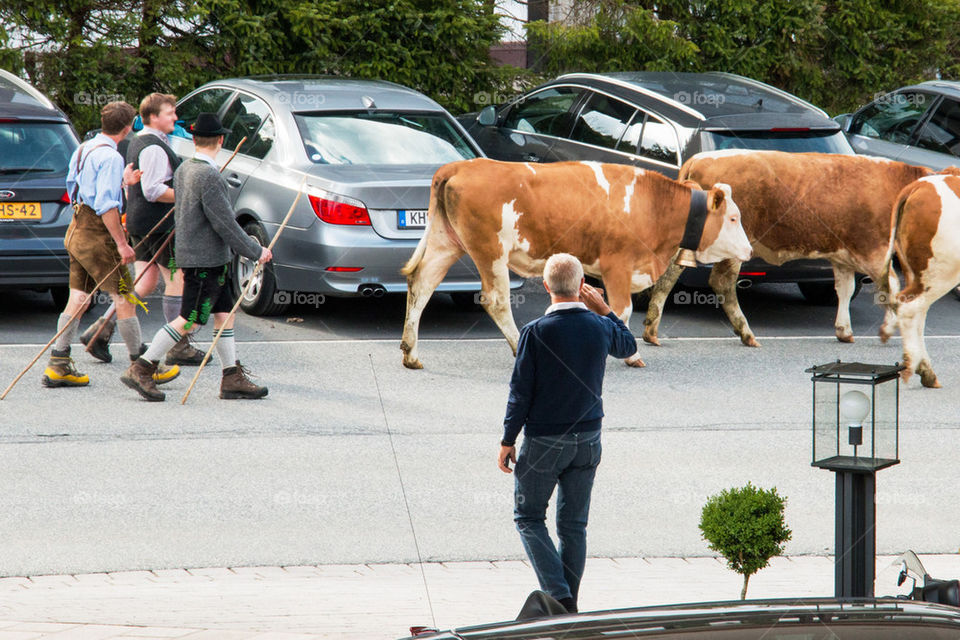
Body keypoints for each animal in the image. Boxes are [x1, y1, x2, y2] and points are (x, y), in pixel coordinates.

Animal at [402, 159, 752, 370]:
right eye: (734, 218)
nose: (749, 250)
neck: (653, 206)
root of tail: (461, 165)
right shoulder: (618, 265)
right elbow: (622, 311)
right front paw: (631, 354)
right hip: (491, 251)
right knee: (496, 300)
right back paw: (516, 347)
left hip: (446, 243)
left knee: (421, 284)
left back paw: (411, 352)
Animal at [640, 149, 932, 348]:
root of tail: (699, 158)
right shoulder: (875, 250)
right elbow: (891, 288)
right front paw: (890, 327)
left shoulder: (843, 256)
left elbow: (845, 290)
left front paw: (844, 330)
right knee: (722, 282)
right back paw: (746, 333)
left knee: (668, 275)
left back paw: (651, 331)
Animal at [876, 171, 960, 390]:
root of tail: (920, 185)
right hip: (943, 271)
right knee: (909, 307)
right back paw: (912, 366)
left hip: (918, 273)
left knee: (917, 313)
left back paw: (926, 371)